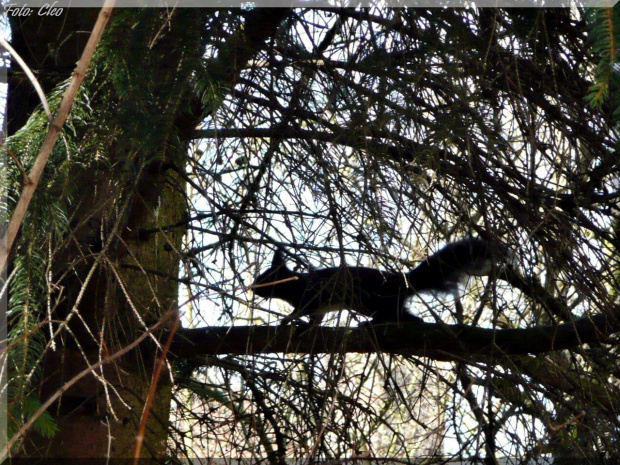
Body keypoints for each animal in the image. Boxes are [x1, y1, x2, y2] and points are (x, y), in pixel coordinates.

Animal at [252, 237, 508, 324]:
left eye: (264, 278)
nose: (253, 288)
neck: (294, 284)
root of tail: (402, 281)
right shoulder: (318, 307)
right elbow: (316, 319)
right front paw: (304, 325)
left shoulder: (310, 296)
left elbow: (303, 310)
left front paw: (288, 320)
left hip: (371, 301)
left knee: (397, 315)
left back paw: (372, 324)